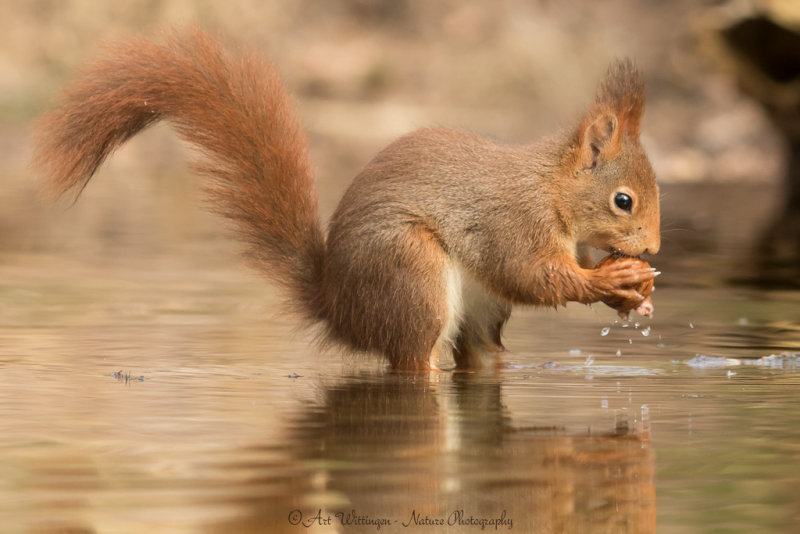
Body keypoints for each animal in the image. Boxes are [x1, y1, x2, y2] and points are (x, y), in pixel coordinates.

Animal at [32, 29, 656, 372]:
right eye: (623, 200)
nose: (651, 250)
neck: (552, 189)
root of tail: (338, 306)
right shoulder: (513, 222)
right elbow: (532, 275)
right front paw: (609, 280)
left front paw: (633, 296)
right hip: (410, 274)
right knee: (415, 362)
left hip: (478, 311)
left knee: (478, 356)